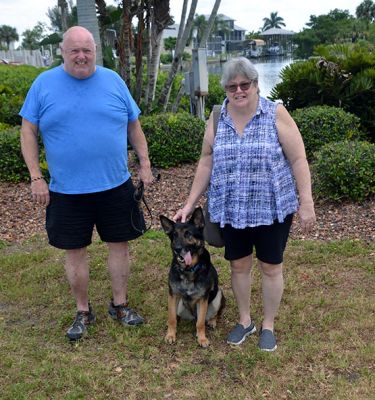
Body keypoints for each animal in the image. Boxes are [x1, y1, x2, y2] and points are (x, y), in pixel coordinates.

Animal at [159, 206, 225, 346]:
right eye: (174, 235)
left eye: (188, 234)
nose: (177, 249)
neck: (188, 270)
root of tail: (192, 316)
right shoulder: (173, 295)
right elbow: (171, 318)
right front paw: (170, 334)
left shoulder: (203, 299)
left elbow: (200, 323)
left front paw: (202, 338)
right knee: (175, 316)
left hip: (219, 294)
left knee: (214, 314)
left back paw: (212, 321)